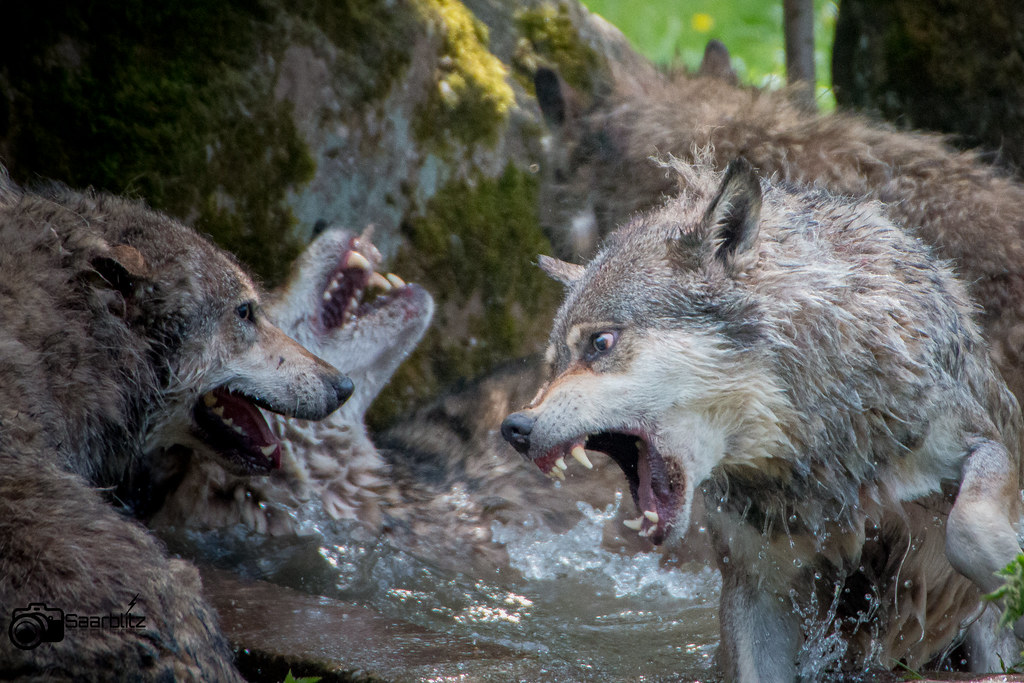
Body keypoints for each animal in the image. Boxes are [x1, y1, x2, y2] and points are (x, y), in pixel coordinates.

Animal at [502, 158, 1024, 680]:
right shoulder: (756, 585)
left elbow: (967, 528)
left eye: (600, 343)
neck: (808, 455)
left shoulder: (976, 440)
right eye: (553, 364)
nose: (514, 428)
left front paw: (1009, 568)